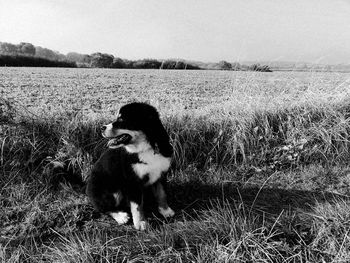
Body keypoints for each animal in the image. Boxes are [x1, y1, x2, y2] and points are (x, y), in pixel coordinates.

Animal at [86, 103, 175, 231]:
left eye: (121, 120)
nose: (102, 128)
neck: (146, 148)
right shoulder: (133, 181)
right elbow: (138, 206)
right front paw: (140, 223)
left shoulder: (161, 174)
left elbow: (162, 194)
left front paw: (166, 211)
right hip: (113, 190)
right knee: (104, 208)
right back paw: (121, 216)